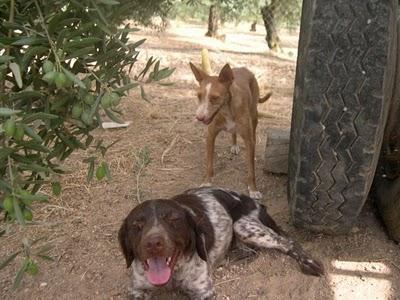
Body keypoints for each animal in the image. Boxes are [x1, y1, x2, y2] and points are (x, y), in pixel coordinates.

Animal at [117, 186, 324, 298]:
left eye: (173, 219)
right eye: (137, 225)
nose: (153, 244)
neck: (173, 275)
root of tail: (255, 202)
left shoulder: (203, 291)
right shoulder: (138, 290)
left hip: (244, 226)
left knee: (287, 242)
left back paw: (309, 263)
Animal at [188, 62, 270, 199]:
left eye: (215, 98)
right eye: (199, 96)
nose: (199, 118)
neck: (226, 109)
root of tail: (243, 68)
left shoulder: (247, 139)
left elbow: (251, 170)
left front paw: (253, 189)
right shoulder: (210, 136)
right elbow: (209, 164)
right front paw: (206, 182)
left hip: (254, 115)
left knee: (253, 133)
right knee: (233, 133)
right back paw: (234, 145)